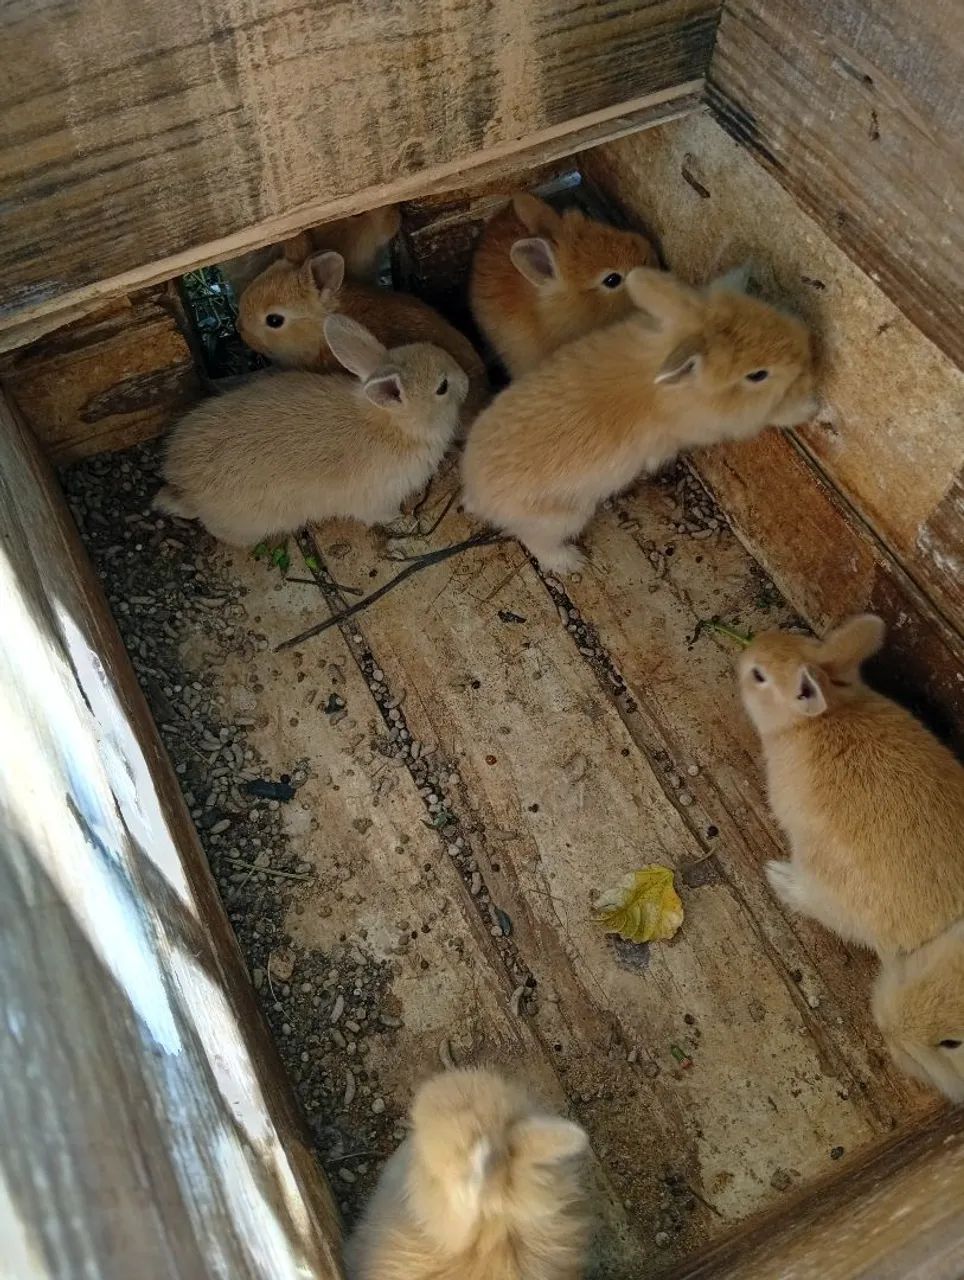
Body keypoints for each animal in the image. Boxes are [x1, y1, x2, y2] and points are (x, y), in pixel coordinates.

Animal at [154, 315, 467, 546]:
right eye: (442, 387)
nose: (465, 381)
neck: (396, 425)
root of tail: (182, 488)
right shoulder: (377, 499)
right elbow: (381, 514)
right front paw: (404, 521)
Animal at [461, 266, 817, 574]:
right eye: (757, 375)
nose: (807, 348)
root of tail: (476, 491)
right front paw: (808, 407)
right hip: (561, 518)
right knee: (535, 540)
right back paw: (571, 562)